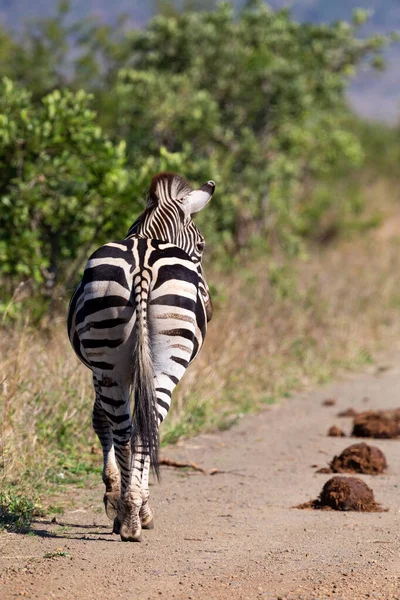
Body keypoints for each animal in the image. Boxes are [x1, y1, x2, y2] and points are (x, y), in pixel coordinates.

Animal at [67, 171, 214, 540]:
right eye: (201, 246)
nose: (207, 306)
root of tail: (144, 264)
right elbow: (106, 421)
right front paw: (116, 497)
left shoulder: (101, 371)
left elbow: (101, 420)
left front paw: (112, 496)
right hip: (154, 365)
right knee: (142, 429)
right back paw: (135, 514)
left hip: (116, 365)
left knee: (130, 430)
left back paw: (130, 514)